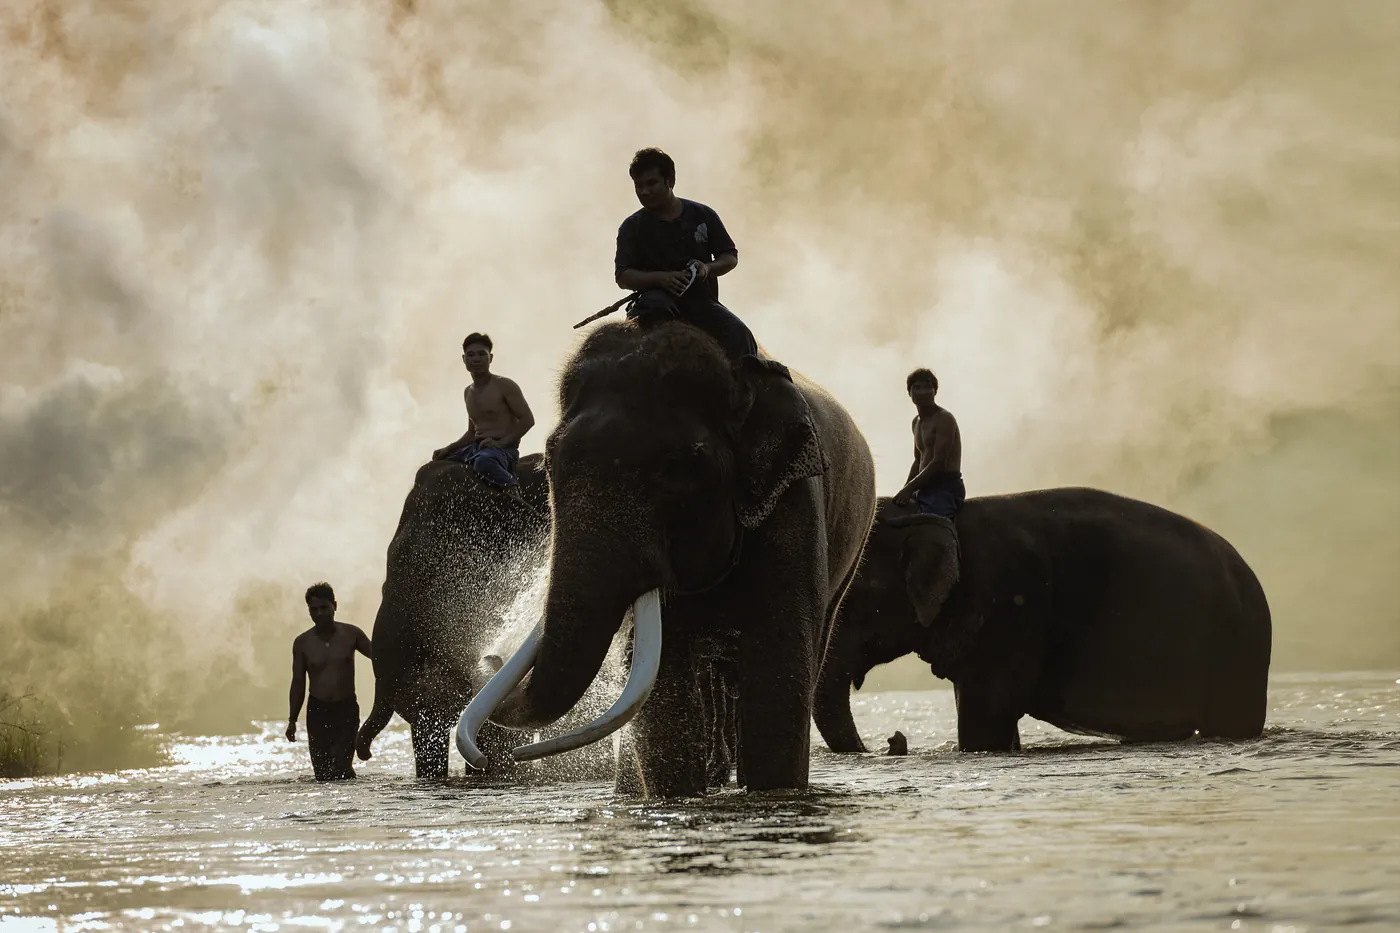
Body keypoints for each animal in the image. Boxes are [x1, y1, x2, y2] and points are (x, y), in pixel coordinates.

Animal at [458, 320, 877, 797]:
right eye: (548, 465)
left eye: (674, 467)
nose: (509, 754)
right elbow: (664, 685)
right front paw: (675, 797)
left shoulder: (793, 506)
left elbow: (777, 667)